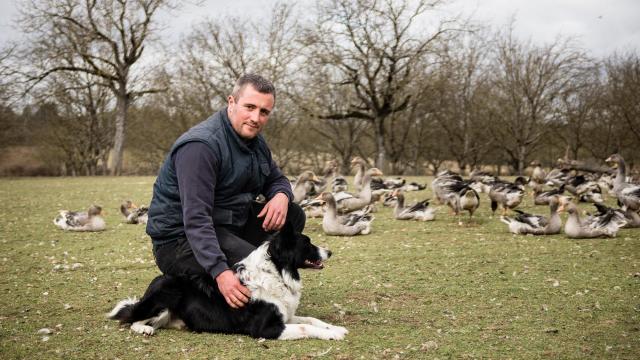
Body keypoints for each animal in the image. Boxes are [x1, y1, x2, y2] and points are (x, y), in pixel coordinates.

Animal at [107, 222, 348, 340]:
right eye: (307, 243)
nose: (330, 252)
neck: (276, 272)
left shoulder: (285, 315)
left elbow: (310, 319)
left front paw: (335, 327)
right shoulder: (266, 328)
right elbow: (305, 328)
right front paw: (333, 334)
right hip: (166, 296)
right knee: (130, 319)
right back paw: (144, 329)